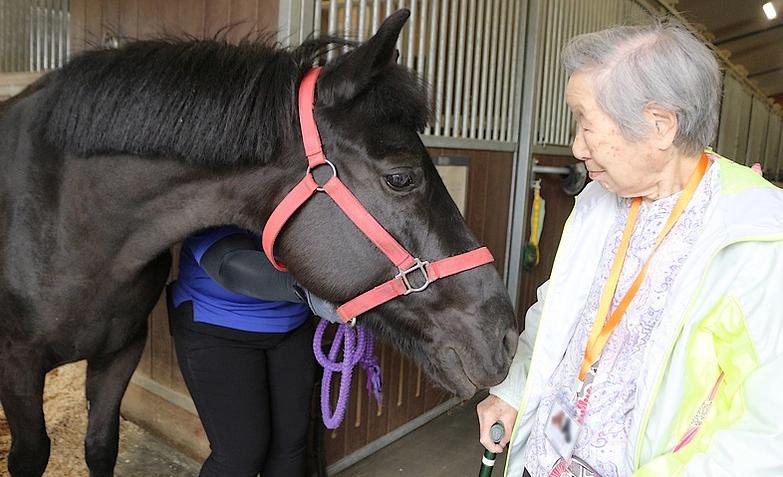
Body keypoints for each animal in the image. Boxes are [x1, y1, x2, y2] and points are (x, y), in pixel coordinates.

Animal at [0, 10, 517, 476]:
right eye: (401, 178)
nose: (507, 337)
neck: (69, 218)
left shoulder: (120, 353)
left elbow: (101, 447)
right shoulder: (18, 365)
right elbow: (30, 457)